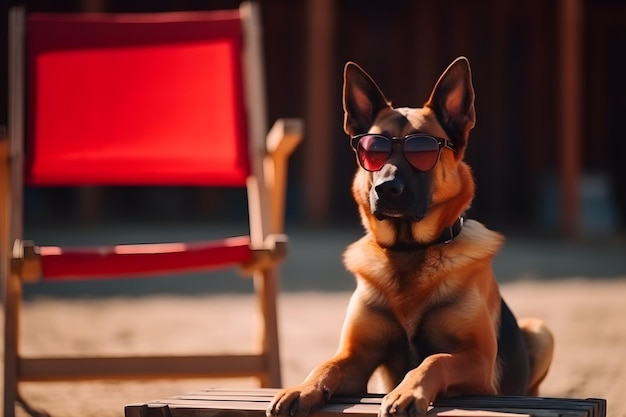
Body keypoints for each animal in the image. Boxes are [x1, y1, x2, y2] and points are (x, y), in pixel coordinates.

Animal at [266, 57, 552, 416]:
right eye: (372, 150)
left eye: (422, 150)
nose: (386, 188)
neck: (407, 251)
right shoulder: (355, 355)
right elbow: (326, 364)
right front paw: (302, 388)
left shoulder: (478, 361)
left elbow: (434, 360)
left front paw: (407, 392)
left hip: (540, 330)